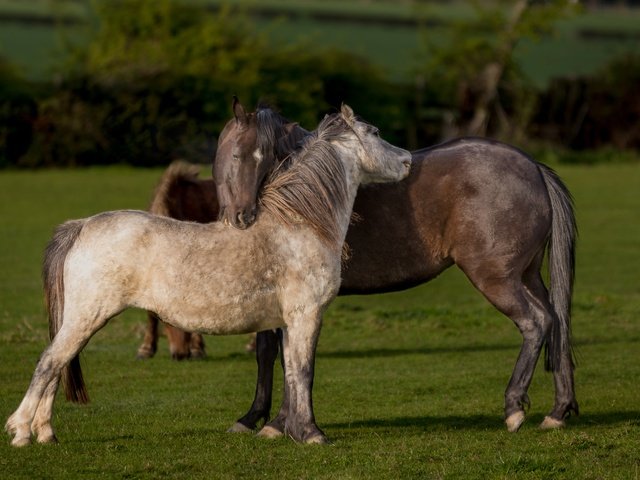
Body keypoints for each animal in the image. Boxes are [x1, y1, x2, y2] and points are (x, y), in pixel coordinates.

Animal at [6, 105, 410, 446]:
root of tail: (82, 225)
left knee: (57, 366)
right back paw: (22, 432)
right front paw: (311, 434)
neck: (299, 225)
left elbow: (292, 372)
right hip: (85, 316)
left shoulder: (287, 321)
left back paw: (46, 434)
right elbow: (304, 371)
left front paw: (286, 429)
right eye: (375, 132)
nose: (407, 159)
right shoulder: (306, 315)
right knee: (48, 363)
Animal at [142, 100, 576, 436]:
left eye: (263, 157)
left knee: (536, 323)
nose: (243, 216)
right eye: (233, 156)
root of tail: (532, 166)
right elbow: (271, 353)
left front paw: (277, 422)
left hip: (497, 279)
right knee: (557, 323)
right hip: (527, 276)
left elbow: (286, 356)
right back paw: (559, 411)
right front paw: (258, 418)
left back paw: (515, 407)